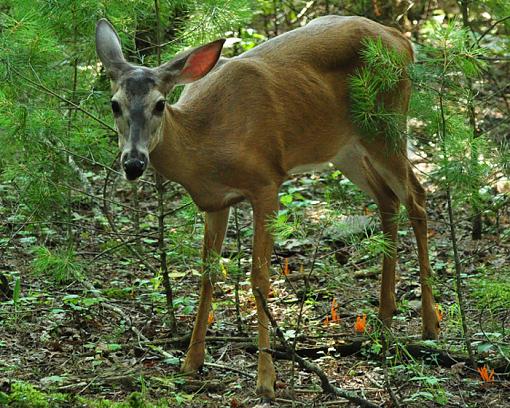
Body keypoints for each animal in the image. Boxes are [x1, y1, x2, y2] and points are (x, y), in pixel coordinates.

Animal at [97, 15, 440, 398]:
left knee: (417, 198)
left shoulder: (266, 183)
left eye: (159, 104)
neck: (205, 143)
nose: (133, 163)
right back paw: (383, 318)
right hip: (345, 148)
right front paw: (191, 361)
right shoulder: (214, 202)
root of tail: (401, 41)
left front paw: (266, 379)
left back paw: (430, 324)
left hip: (386, 124)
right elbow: (207, 276)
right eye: (114, 104)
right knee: (388, 200)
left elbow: (259, 278)